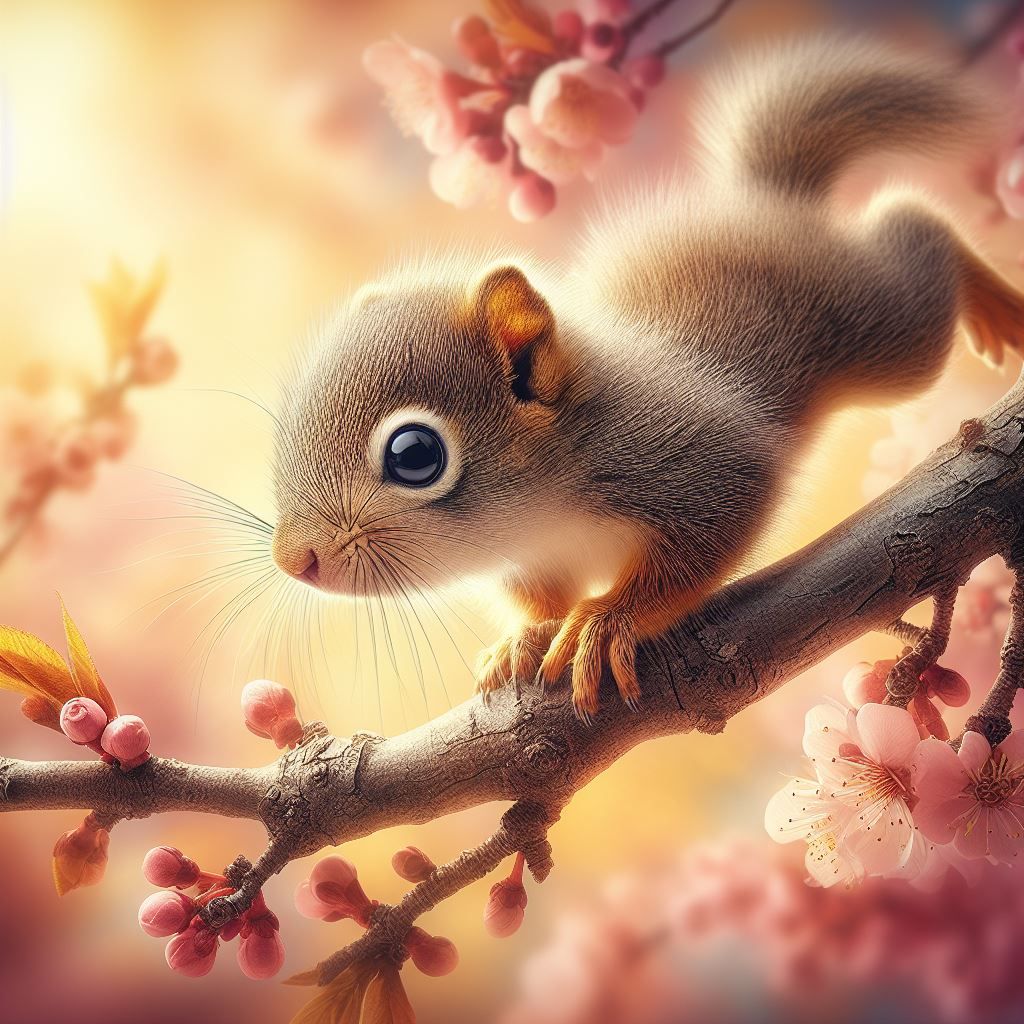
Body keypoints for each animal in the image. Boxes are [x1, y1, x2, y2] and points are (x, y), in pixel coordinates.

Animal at [271, 38, 1024, 720]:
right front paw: (527, 636)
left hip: (881, 333)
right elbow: (539, 596)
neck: (537, 510)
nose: (293, 560)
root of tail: (768, 199)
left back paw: (994, 304)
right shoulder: (533, 556)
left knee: (915, 228)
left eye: (415, 455)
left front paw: (605, 621)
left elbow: (700, 542)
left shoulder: (687, 455)